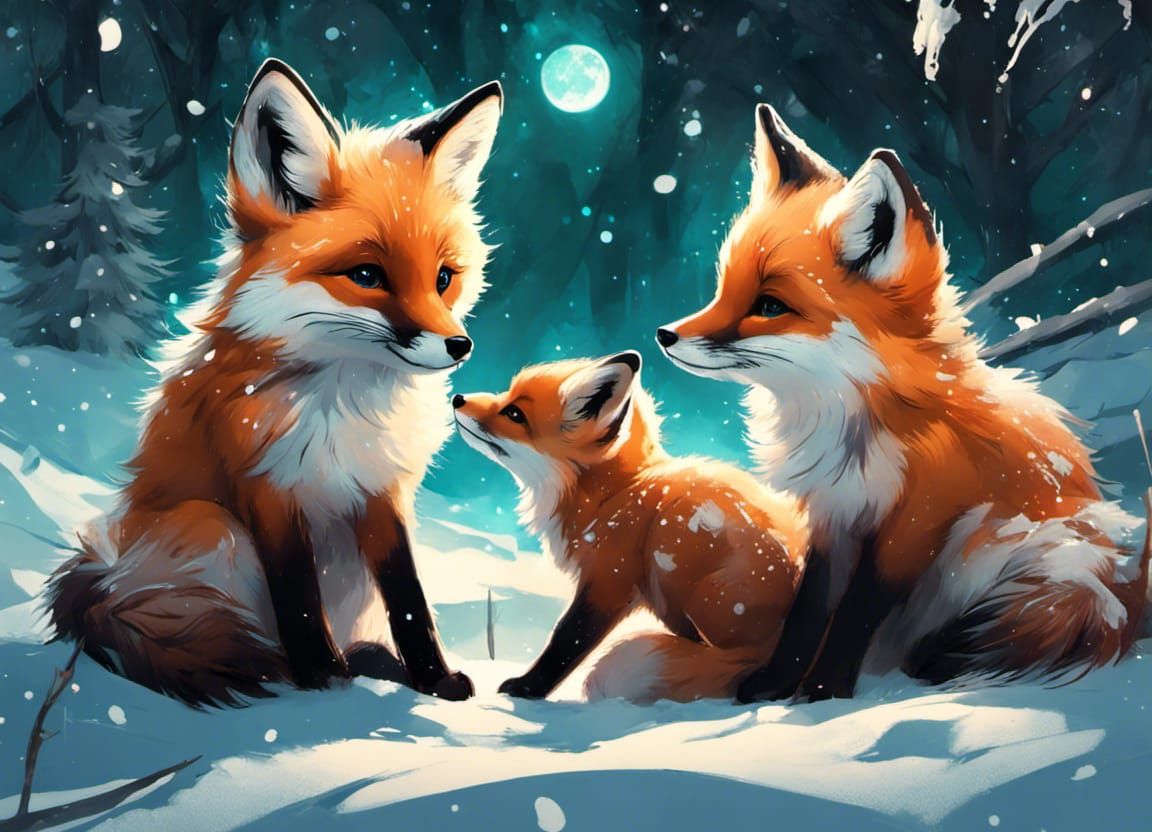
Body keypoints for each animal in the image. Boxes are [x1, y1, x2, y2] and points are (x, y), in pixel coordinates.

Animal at [45, 59, 503, 706]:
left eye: (443, 278)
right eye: (367, 275)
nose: (458, 346)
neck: (343, 408)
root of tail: (102, 578)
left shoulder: (381, 493)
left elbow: (410, 599)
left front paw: (434, 681)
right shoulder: (268, 488)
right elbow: (298, 598)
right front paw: (323, 679)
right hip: (212, 527)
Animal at [452, 351, 809, 703]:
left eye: (514, 413)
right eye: (506, 394)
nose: (457, 398)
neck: (613, 494)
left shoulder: (609, 580)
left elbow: (567, 642)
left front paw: (527, 688)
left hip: (680, 570)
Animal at [656, 103, 1152, 702]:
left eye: (770, 305)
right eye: (722, 289)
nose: (663, 335)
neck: (854, 426)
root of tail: (1121, 602)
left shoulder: (914, 521)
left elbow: (855, 612)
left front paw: (822, 693)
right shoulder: (834, 514)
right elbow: (808, 609)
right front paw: (773, 687)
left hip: (1003, 547)